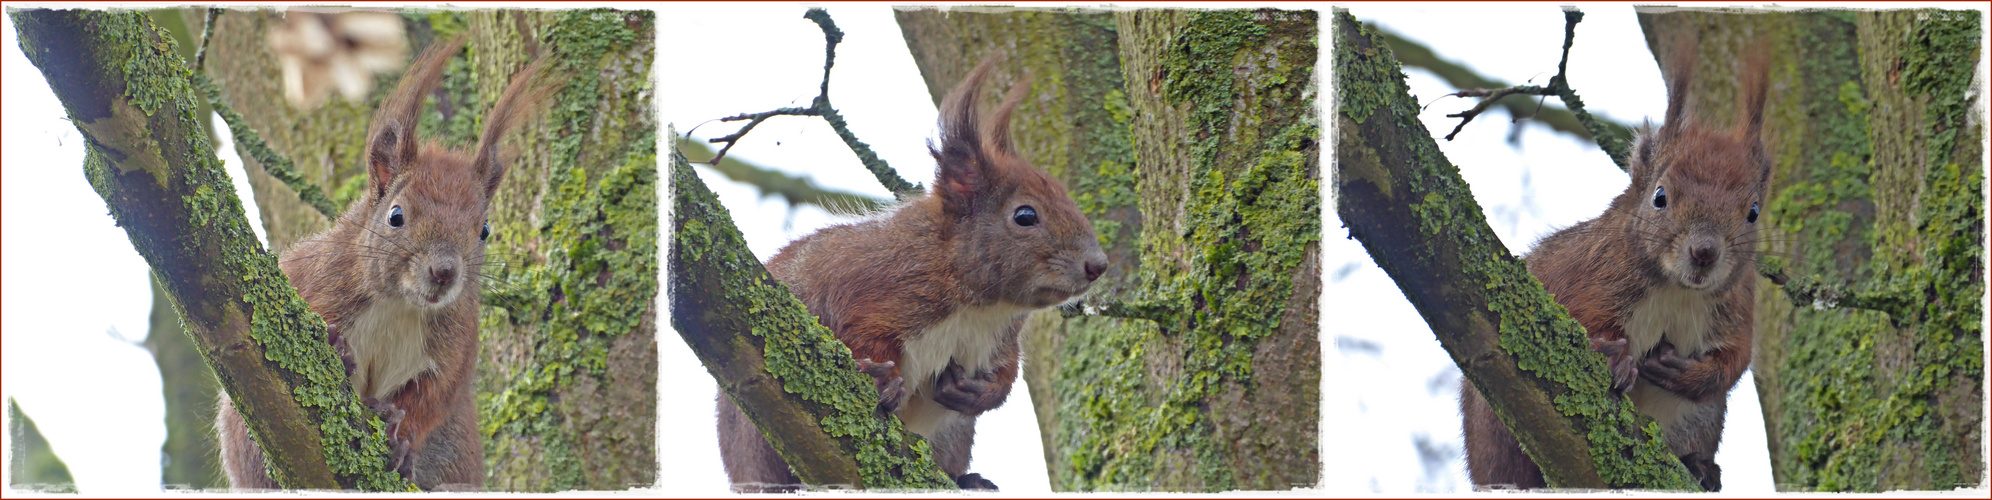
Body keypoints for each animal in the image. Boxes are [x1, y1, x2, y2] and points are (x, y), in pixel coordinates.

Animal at [216, 39, 553, 492]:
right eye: (396, 216)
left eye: (484, 230)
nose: (444, 272)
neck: (400, 304)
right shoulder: (315, 282)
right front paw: (337, 348)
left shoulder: (457, 345)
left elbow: (434, 397)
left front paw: (400, 433)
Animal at [717, 56, 1115, 490]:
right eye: (1025, 216)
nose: (1097, 266)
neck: (979, 304)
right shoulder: (873, 284)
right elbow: (856, 334)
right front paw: (881, 379)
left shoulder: (1001, 339)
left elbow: (1008, 372)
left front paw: (979, 390)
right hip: (758, 439)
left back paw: (969, 480)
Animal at [1458, 40, 1768, 492]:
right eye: (1659, 197)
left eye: (1753, 213)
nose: (1705, 252)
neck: (1676, 289)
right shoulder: (1586, 272)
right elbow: (1567, 316)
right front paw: (1613, 355)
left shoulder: (1739, 304)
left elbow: (1736, 359)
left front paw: (1689, 374)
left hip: (1701, 419)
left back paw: (1699, 467)